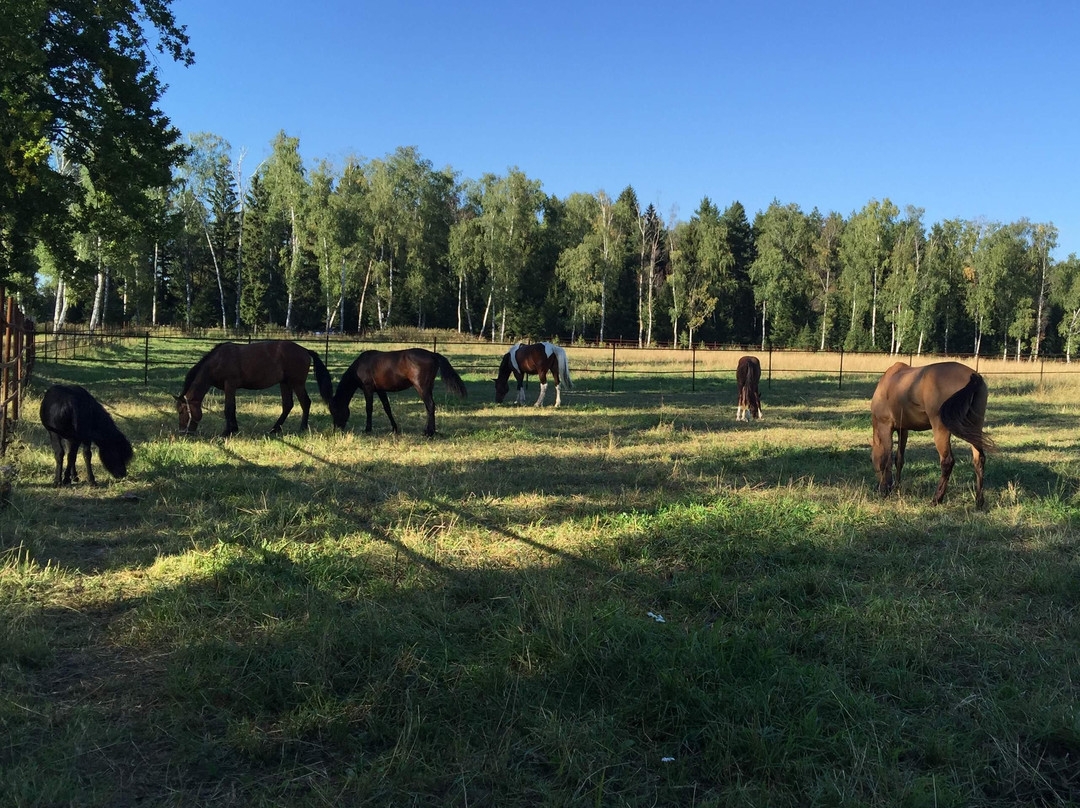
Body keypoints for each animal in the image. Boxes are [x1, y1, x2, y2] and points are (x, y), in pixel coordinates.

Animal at [176, 341, 334, 437]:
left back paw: (302, 428)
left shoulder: (229, 385)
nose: (183, 432)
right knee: (288, 405)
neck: (218, 360)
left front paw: (226, 432)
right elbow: (233, 408)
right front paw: (234, 429)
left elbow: (228, 408)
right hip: (285, 383)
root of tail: (305, 350)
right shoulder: (232, 388)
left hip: (297, 383)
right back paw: (274, 429)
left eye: (182, 411)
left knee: (305, 403)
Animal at [331, 348, 467, 437]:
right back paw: (429, 431)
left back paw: (429, 432)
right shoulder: (380, 390)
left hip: (421, 387)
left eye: (335, 411)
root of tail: (432, 354)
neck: (361, 365)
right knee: (429, 407)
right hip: (428, 388)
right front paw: (394, 428)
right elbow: (387, 408)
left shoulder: (368, 389)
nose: (336, 430)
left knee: (430, 405)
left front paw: (367, 429)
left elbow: (369, 408)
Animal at [871, 361, 995, 508]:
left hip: (941, 428)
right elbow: (899, 459)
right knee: (979, 460)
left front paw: (886, 490)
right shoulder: (903, 430)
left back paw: (936, 499)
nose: (879, 488)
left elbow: (886, 459)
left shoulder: (885, 426)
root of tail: (973, 376)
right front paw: (895, 487)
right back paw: (979, 501)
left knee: (947, 462)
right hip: (974, 426)